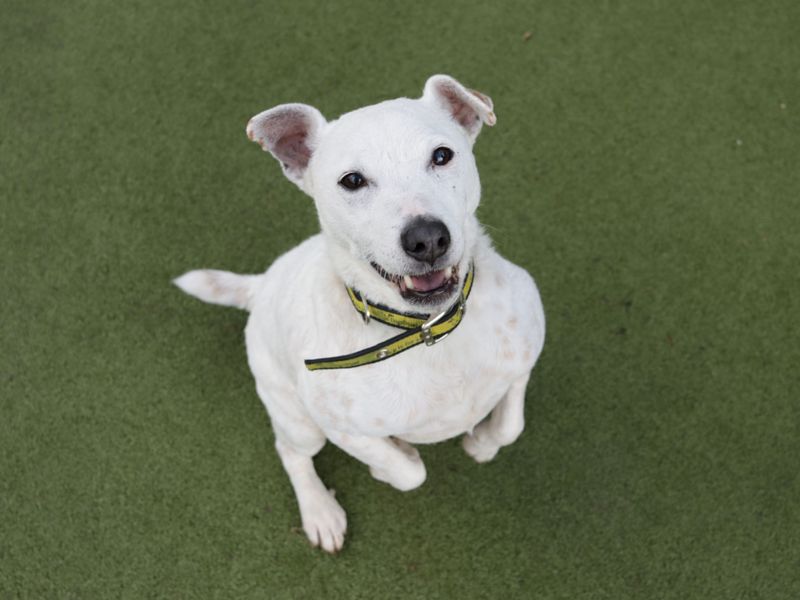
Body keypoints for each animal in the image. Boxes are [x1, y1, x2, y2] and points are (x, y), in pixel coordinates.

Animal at [177, 75, 544, 552]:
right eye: (352, 180)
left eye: (442, 155)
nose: (427, 238)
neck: (429, 333)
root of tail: (261, 286)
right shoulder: (340, 427)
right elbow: (408, 471)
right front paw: (392, 460)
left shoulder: (524, 355)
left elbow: (510, 424)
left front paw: (481, 443)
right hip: (298, 420)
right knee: (291, 453)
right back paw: (320, 512)